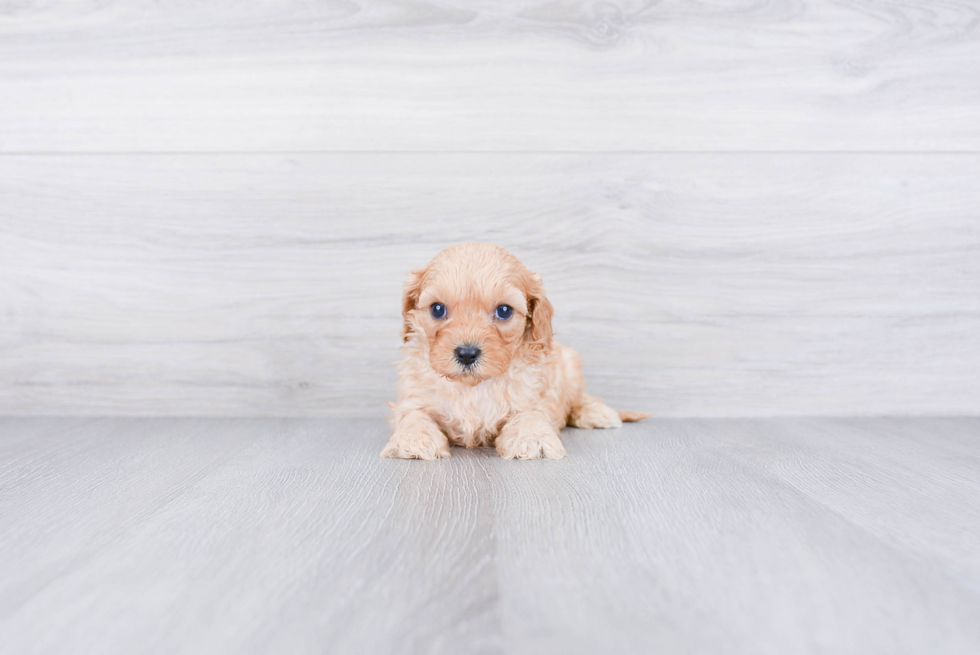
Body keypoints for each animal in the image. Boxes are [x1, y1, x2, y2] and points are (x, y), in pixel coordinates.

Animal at [382, 242, 652, 462]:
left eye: (504, 311)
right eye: (437, 309)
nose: (467, 354)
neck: (472, 387)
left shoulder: (532, 397)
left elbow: (530, 415)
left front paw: (534, 438)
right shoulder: (413, 397)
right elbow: (413, 415)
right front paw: (414, 438)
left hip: (570, 365)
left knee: (580, 399)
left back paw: (598, 413)